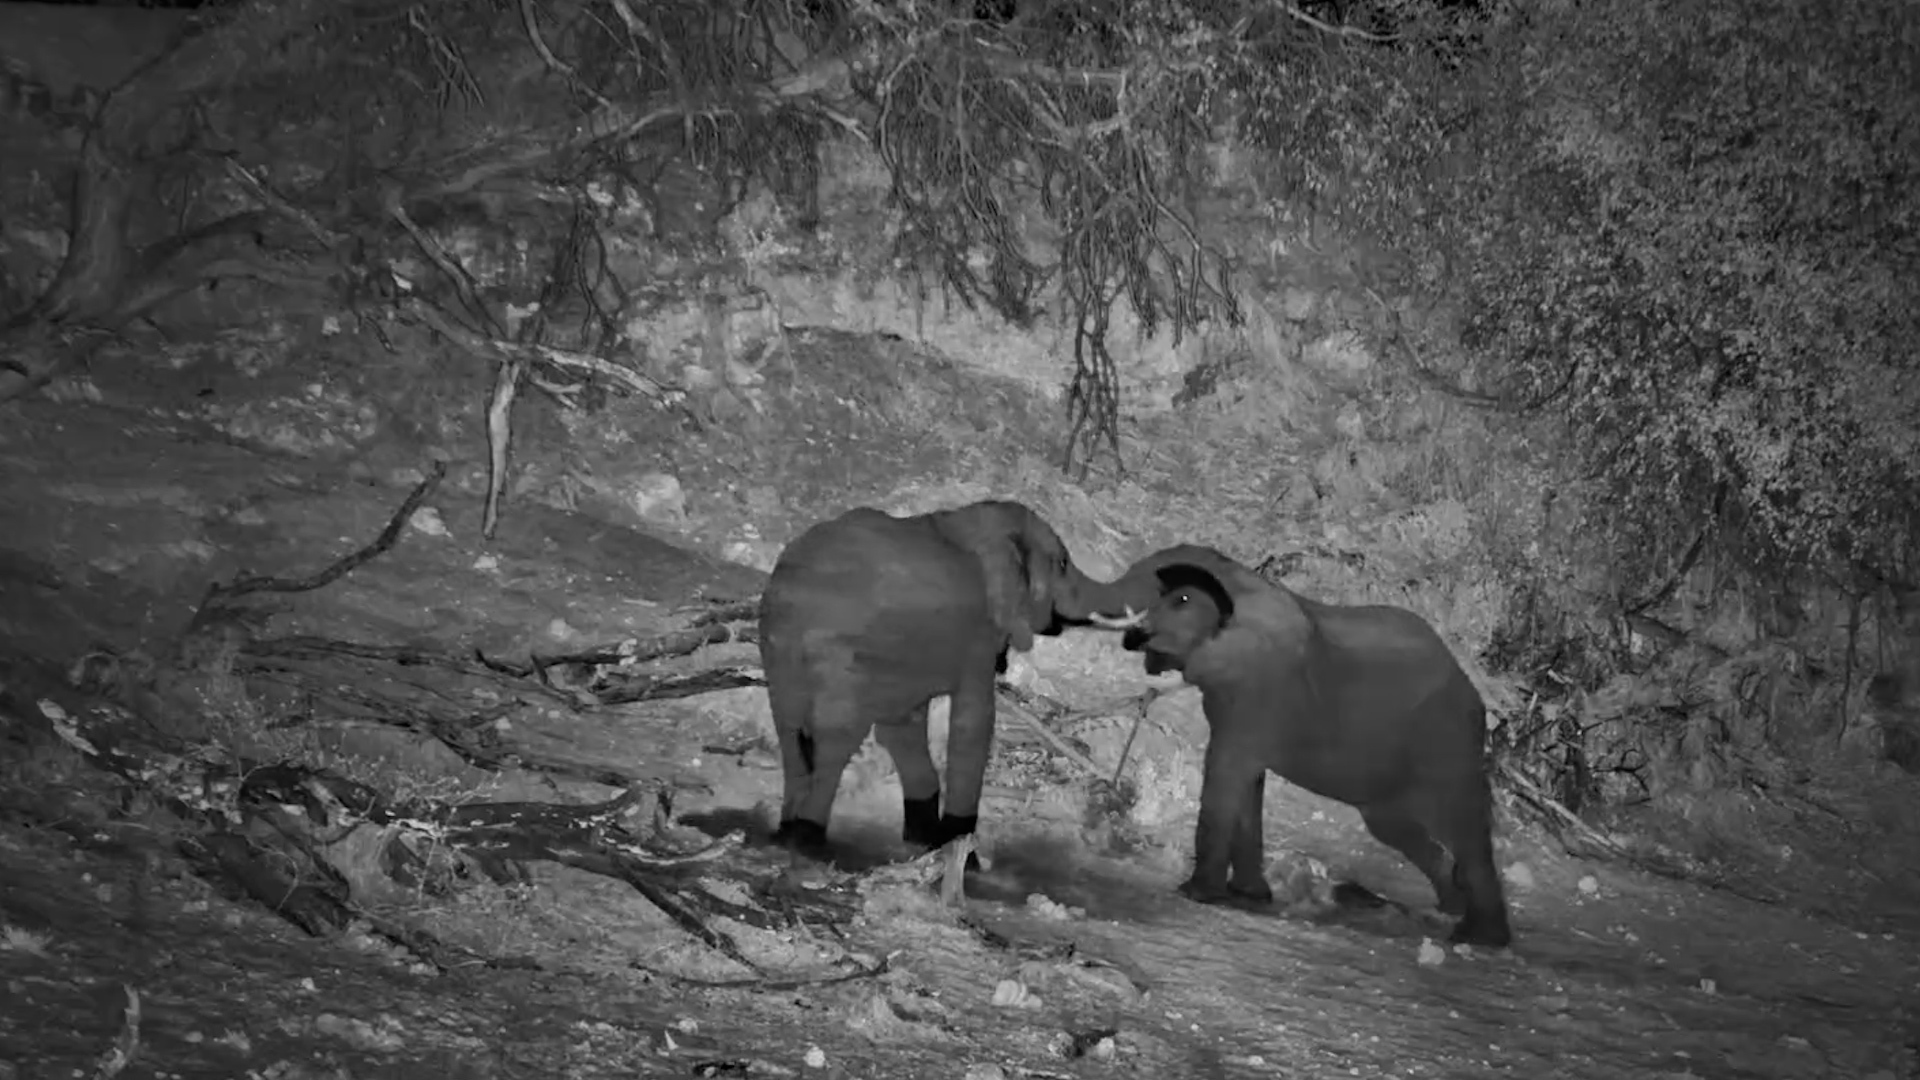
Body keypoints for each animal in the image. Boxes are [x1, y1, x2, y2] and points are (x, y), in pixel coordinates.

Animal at [758, 500, 1106, 863]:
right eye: (1062, 563)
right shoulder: (977, 634)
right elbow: (972, 723)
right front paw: (962, 852)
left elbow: (903, 727)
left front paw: (925, 840)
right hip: (836, 652)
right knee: (835, 738)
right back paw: (807, 838)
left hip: (780, 647)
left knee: (790, 729)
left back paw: (786, 833)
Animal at [1087, 545, 1513, 948]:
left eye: (1182, 600)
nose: (1135, 637)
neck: (1243, 580)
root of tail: (1477, 698)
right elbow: (1248, 783)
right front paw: (1249, 896)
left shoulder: (1257, 693)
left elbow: (1227, 772)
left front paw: (1195, 894)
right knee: (1395, 830)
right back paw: (1451, 909)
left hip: (1446, 746)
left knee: (1462, 829)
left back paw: (1479, 938)